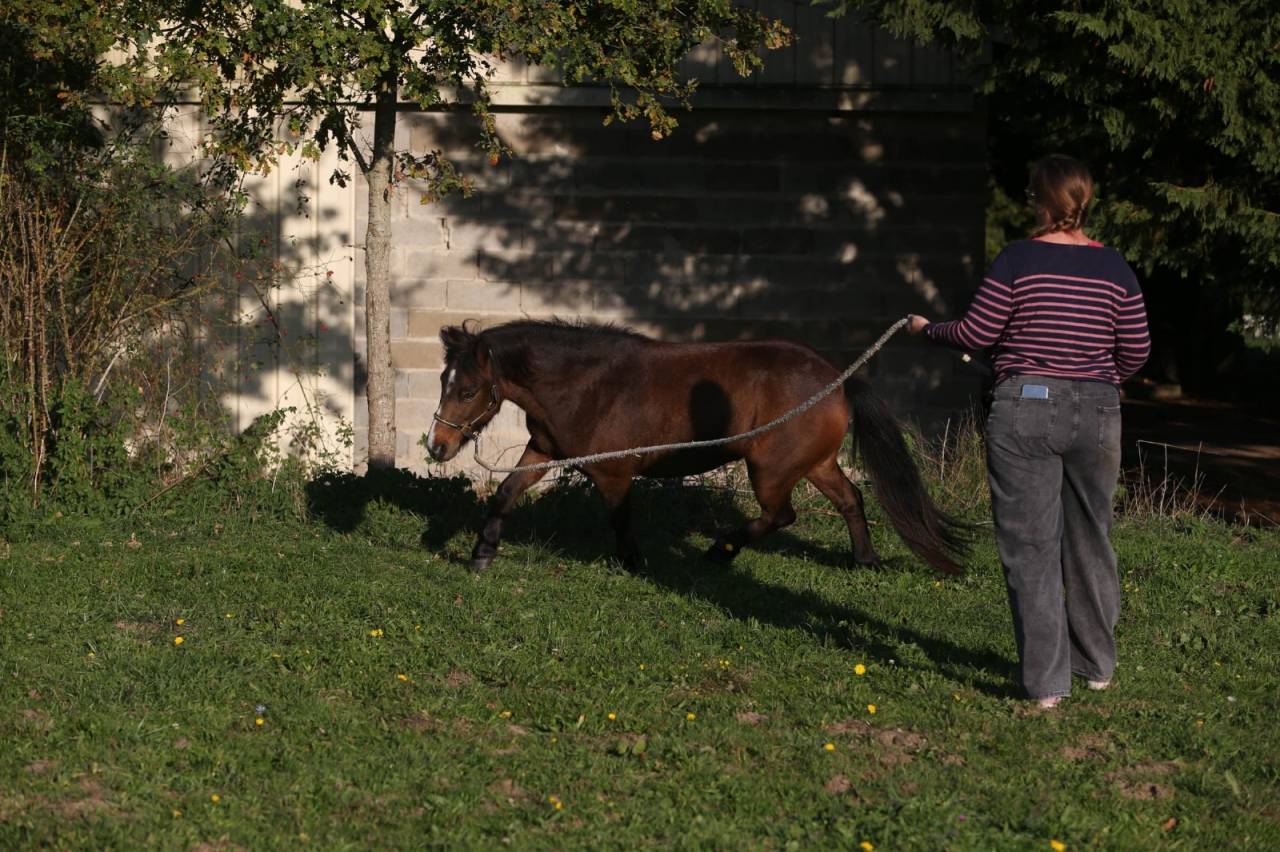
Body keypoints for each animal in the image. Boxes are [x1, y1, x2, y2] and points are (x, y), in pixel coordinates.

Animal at [425, 319, 968, 575]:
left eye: (468, 390)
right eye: (443, 381)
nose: (437, 446)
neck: (588, 385)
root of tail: (837, 378)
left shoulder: (613, 473)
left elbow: (620, 518)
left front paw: (633, 562)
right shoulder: (544, 452)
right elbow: (506, 494)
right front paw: (481, 554)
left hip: (770, 469)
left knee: (781, 515)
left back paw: (720, 551)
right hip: (815, 463)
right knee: (851, 500)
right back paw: (865, 560)